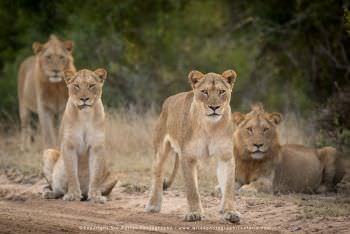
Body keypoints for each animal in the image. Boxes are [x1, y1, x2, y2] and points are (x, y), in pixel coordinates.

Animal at [41, 68, 117, 203]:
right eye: (76, 86)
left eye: (91, 85)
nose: (84, 99)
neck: (85, 115)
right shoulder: (69, 145)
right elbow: (72, 173)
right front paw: (72, 195)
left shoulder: (97, 146)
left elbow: (96, 175)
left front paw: (96, 196)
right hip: (48, 152)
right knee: (56, 188)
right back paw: (50, 194)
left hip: (113, 173)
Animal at [145, 69, 241, 223]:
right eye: (205, 92)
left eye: (221, 91)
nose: (214, 107)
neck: (210, 126)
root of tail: (168, 101)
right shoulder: (188, 157)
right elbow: (192, 190)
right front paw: (194, 213)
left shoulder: (226, 157)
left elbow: (228, 187)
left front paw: (230, 212)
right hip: (160, 149)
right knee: (157, 174)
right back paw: (153, 205)